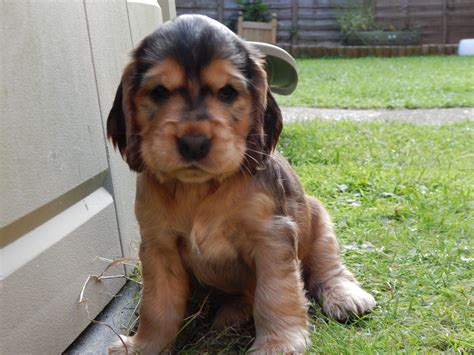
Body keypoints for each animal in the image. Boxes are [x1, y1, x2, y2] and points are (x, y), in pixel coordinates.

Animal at [106, 14, 374, 355]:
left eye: (227, 92)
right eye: (160, 92)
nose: (194, 144)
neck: (200, 191)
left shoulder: (272, 236)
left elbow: (274, 294)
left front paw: (278, 343)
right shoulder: (158, 245)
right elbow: (157, 306)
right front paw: (144, 345)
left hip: (320, 223)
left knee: (327, 268)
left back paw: (346, 297)